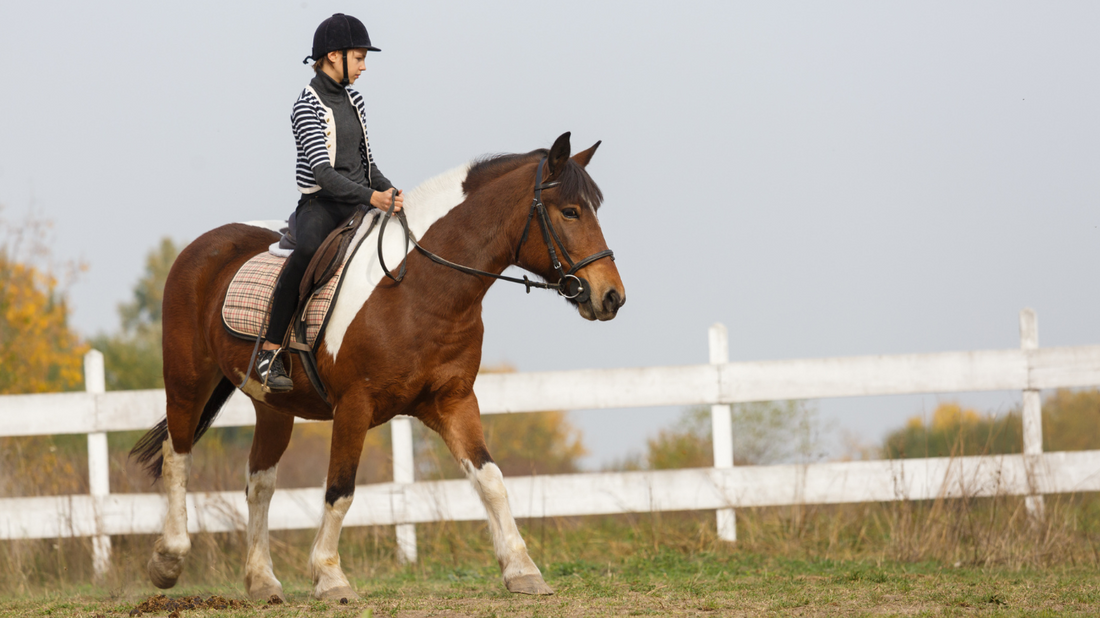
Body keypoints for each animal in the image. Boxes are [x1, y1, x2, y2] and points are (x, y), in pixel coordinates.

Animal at [129, 132, 625, 601]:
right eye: (570, 212)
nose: (612, 297)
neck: (419, 289)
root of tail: (203, 245)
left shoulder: (453, 401)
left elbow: (491, 480)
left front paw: (522, 570)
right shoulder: (355, 406)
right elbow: (340, 490)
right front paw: (330, 577)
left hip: (272, 404)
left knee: (260, 485)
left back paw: (262, 582)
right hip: (187, 380)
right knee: (178, 457)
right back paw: (168, 560)